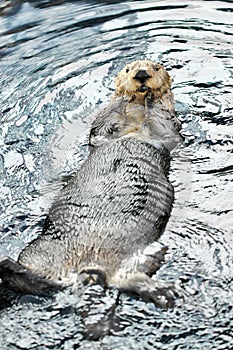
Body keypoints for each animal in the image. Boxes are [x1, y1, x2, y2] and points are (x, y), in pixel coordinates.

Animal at [0, 60, 182, 308]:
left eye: (155, 67)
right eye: (128, 69)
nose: (141, 74)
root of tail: (88, 269)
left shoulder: (167, 129)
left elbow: (163, 124)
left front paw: (149, 98)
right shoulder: (102, 129)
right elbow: (102, 126)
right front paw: (127, 97)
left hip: (135, 255)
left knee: (124, 277)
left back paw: (163, 292)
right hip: (39, 252)